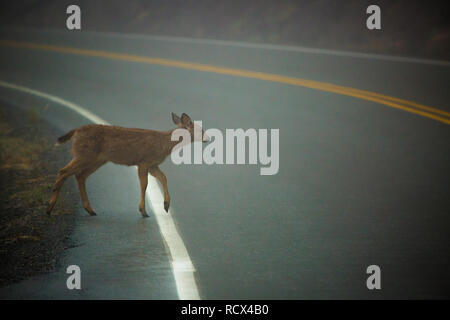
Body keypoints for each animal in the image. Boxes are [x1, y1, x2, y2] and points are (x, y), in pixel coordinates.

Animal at [45, 112, 207, 218]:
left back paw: (90, 210)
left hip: (97, 159)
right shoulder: (144, 161)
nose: (208, 138)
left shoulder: (153, 164)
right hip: (84, 154)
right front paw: (143, 211)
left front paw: (166, 205)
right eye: (200, 130)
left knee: (80, 175)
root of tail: (76, 131)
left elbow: (163, 177)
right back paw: (49, 207)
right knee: (64, 171)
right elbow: (144, 185)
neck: (163, 145)